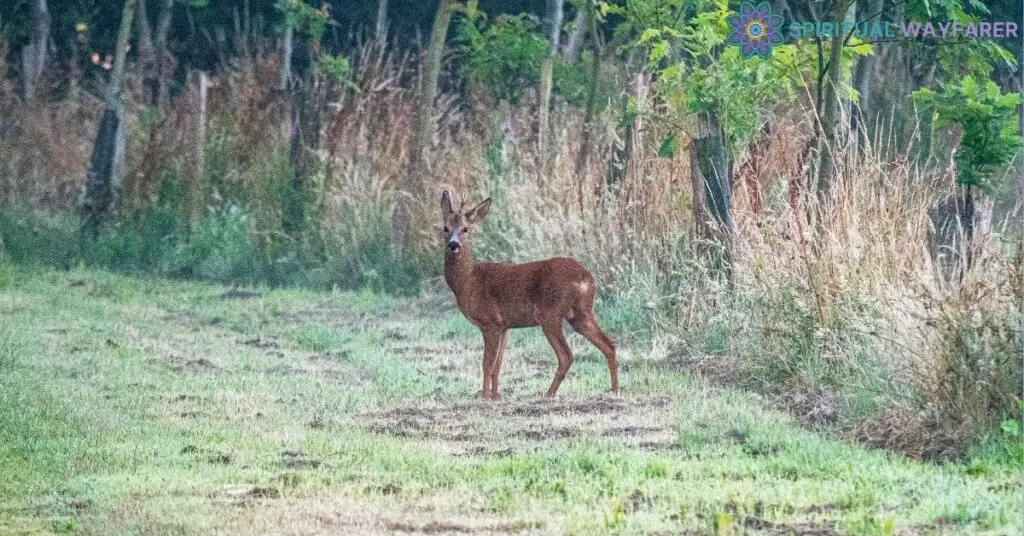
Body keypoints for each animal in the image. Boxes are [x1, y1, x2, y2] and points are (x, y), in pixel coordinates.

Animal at [438, 189, 618, 397]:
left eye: (466, 229)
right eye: (445, 227)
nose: (454, 245)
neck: (468, 281)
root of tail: (586, 277)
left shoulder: (490, 321)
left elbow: (487, 364)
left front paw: (484, 397)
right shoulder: (504, 326)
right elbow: (498, 364)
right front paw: (496, 396)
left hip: (550, 313)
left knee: (567, 355)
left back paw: (549, 394)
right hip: (581, 313)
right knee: (609, 345)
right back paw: (615, 390)